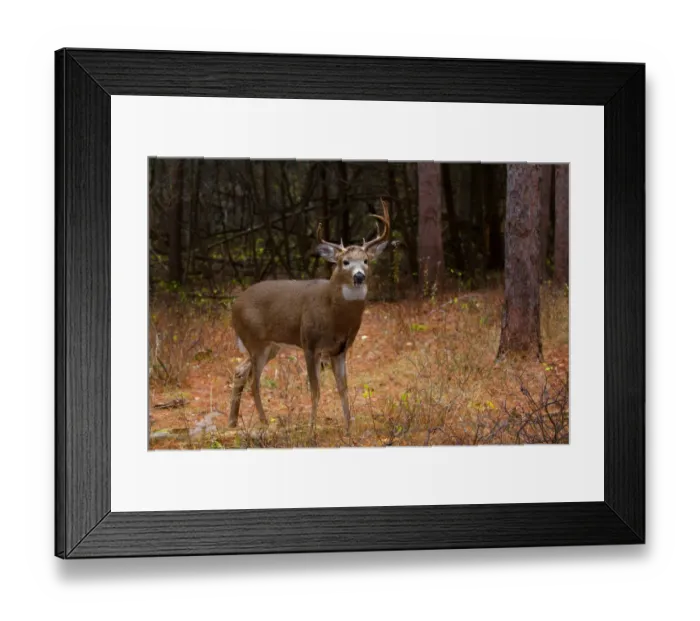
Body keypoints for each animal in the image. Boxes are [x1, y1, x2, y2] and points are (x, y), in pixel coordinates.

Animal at [228, 198, 391, 433]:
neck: (335, 315)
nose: (359, 276)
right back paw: (265, 422)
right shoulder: (309, 343)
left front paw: (348, 427)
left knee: (240, 370)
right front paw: (311, 427)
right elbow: (315, 389)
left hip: (271, 345)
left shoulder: (340, 349)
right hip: (255, 341)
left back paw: (233, 421)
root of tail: (234, 305)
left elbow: (343, 387)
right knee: (254, 382)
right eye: (345, 262)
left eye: (366, 260)